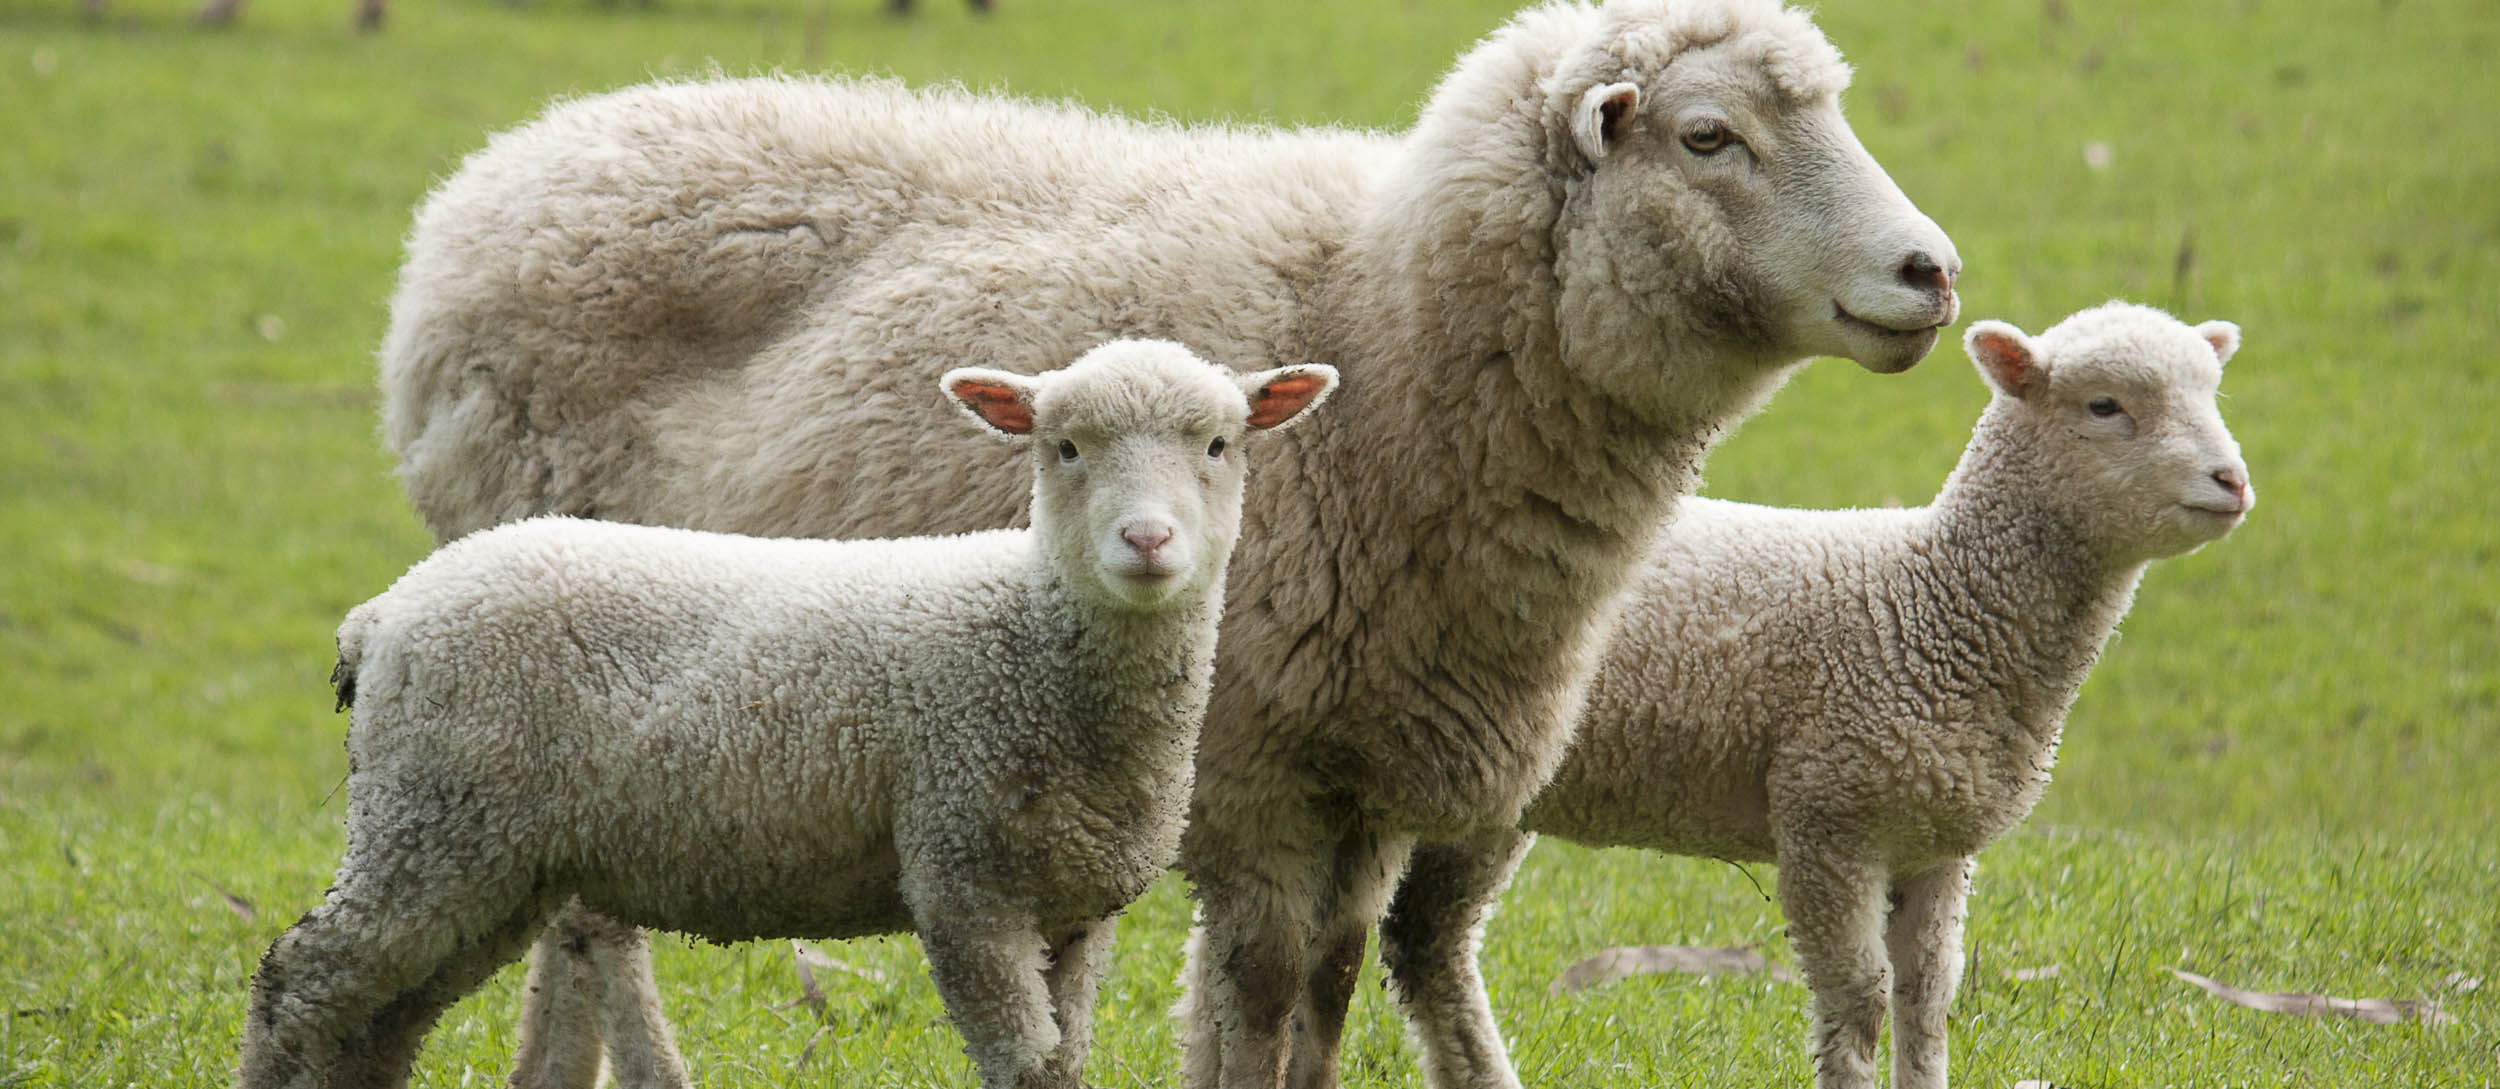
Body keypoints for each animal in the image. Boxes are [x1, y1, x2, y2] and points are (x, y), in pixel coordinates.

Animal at [234, 339, 1339, 1089]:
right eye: (1064, 447)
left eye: (1219, 444)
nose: (1146, 543)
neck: (1028, 631)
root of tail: (386, 614)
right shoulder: (963, 880)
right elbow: (1023, 1067)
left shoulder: (1074, 907)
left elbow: (1061, 1067)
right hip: (434, 819)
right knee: (302, 979)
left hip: (486, 857)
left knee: (384, 1017)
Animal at [372, 2, 1960, 1084]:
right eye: (1709, 138)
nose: (1930, 272)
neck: (1382, 340)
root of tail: (498, 177)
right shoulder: (1249, 763)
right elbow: (1257, 985)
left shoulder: (1365, 772)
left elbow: (1328, 984)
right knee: (595, 927)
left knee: (572, 905)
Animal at [1377, 302, 2255, 1089]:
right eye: (2105, 405)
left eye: (2214, 393)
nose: (2233, 480)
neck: (1933, 606)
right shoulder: (1827, 819)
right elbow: (1859, 1000)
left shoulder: (1936, 843)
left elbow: (1927, 1001)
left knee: (1426, 943)